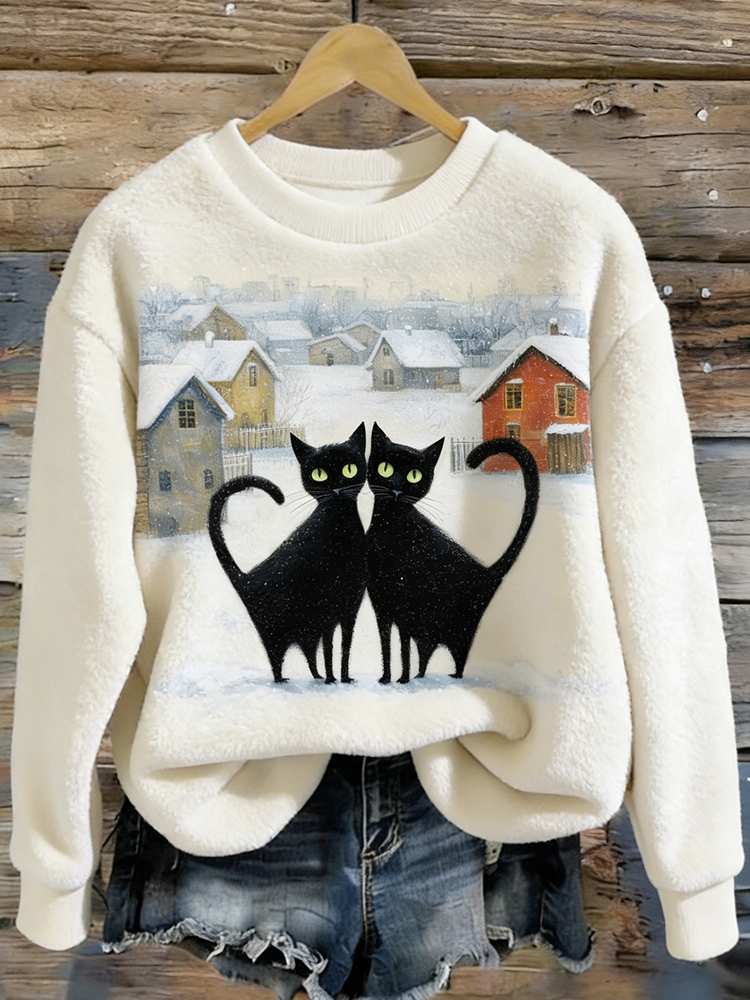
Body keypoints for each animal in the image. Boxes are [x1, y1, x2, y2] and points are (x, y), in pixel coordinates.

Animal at [208, 423, 367, 684]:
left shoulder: (349, 608)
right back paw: (285, 680)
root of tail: (246, 578)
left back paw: (316, 677)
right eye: (319, 474)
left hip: (307, 629)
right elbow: (330, 648)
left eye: (349, 469)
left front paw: (343, 678)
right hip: (276, 630)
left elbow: (345, 646)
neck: (339, 527)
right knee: (277, 659)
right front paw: (333, 679)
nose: (336, 488)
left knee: (309, 654)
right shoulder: (328, 612)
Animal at [366, 422, 540, 683]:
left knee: (459, 656)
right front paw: (387, 678)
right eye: (385, 469)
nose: (396, 489)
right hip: (427, 627)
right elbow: (386, 645)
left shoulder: (404, 607)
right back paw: (420, 676)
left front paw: (402, 679)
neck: (390, 529)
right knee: (426, 653)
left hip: (460, 628)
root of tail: (487, 572)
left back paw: (450, 677)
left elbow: (403, 648)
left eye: (414, 475)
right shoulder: (381, 606)